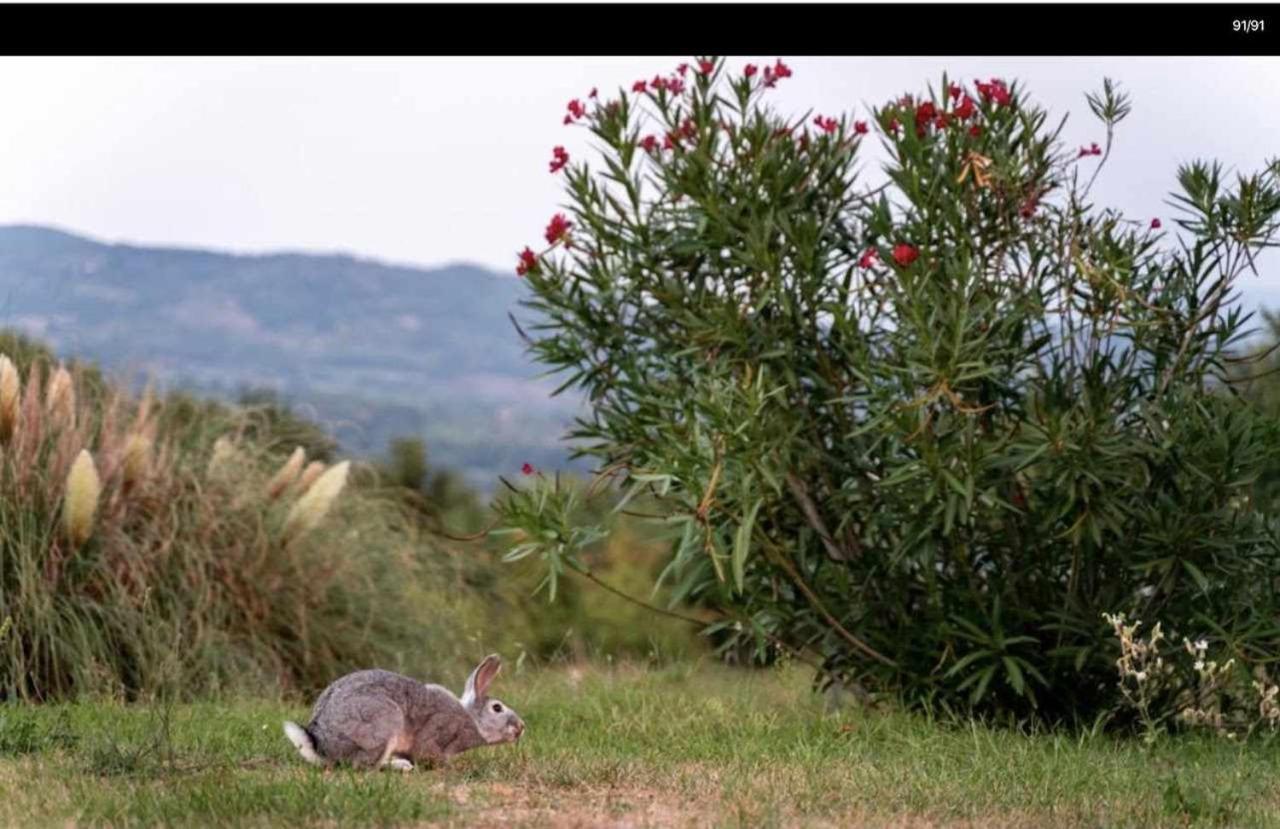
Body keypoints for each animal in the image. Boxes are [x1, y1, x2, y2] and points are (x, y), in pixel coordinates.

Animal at [284, 655, 524, 772]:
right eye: (497, 708)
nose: (522, 727)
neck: (472, 720)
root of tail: (323, 746)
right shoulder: (437, 734)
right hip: (383, 724)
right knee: (364, 766)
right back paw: (401, 767)